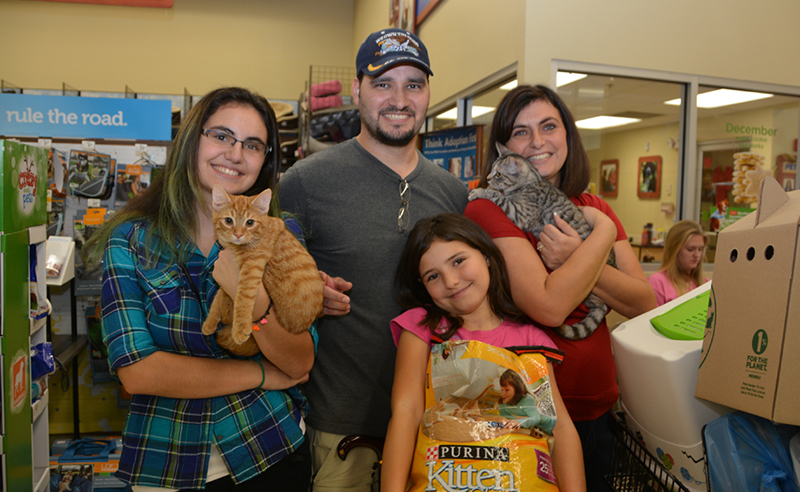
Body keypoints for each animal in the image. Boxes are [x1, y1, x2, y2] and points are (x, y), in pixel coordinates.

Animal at [203, 184, 324, 354]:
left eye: (250, 222)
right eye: (228, 220)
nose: (238, 234)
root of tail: (298, 327)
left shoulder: (251, 268)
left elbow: (242, 298)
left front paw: (240, 327)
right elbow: (218, 295)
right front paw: (210, 321)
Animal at [466, 144, 616, 340]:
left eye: (498, 174)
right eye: (491, 171)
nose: (489, 178)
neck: (532, 182)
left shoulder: (520, 213)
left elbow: (498, 196)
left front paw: (480, 190)